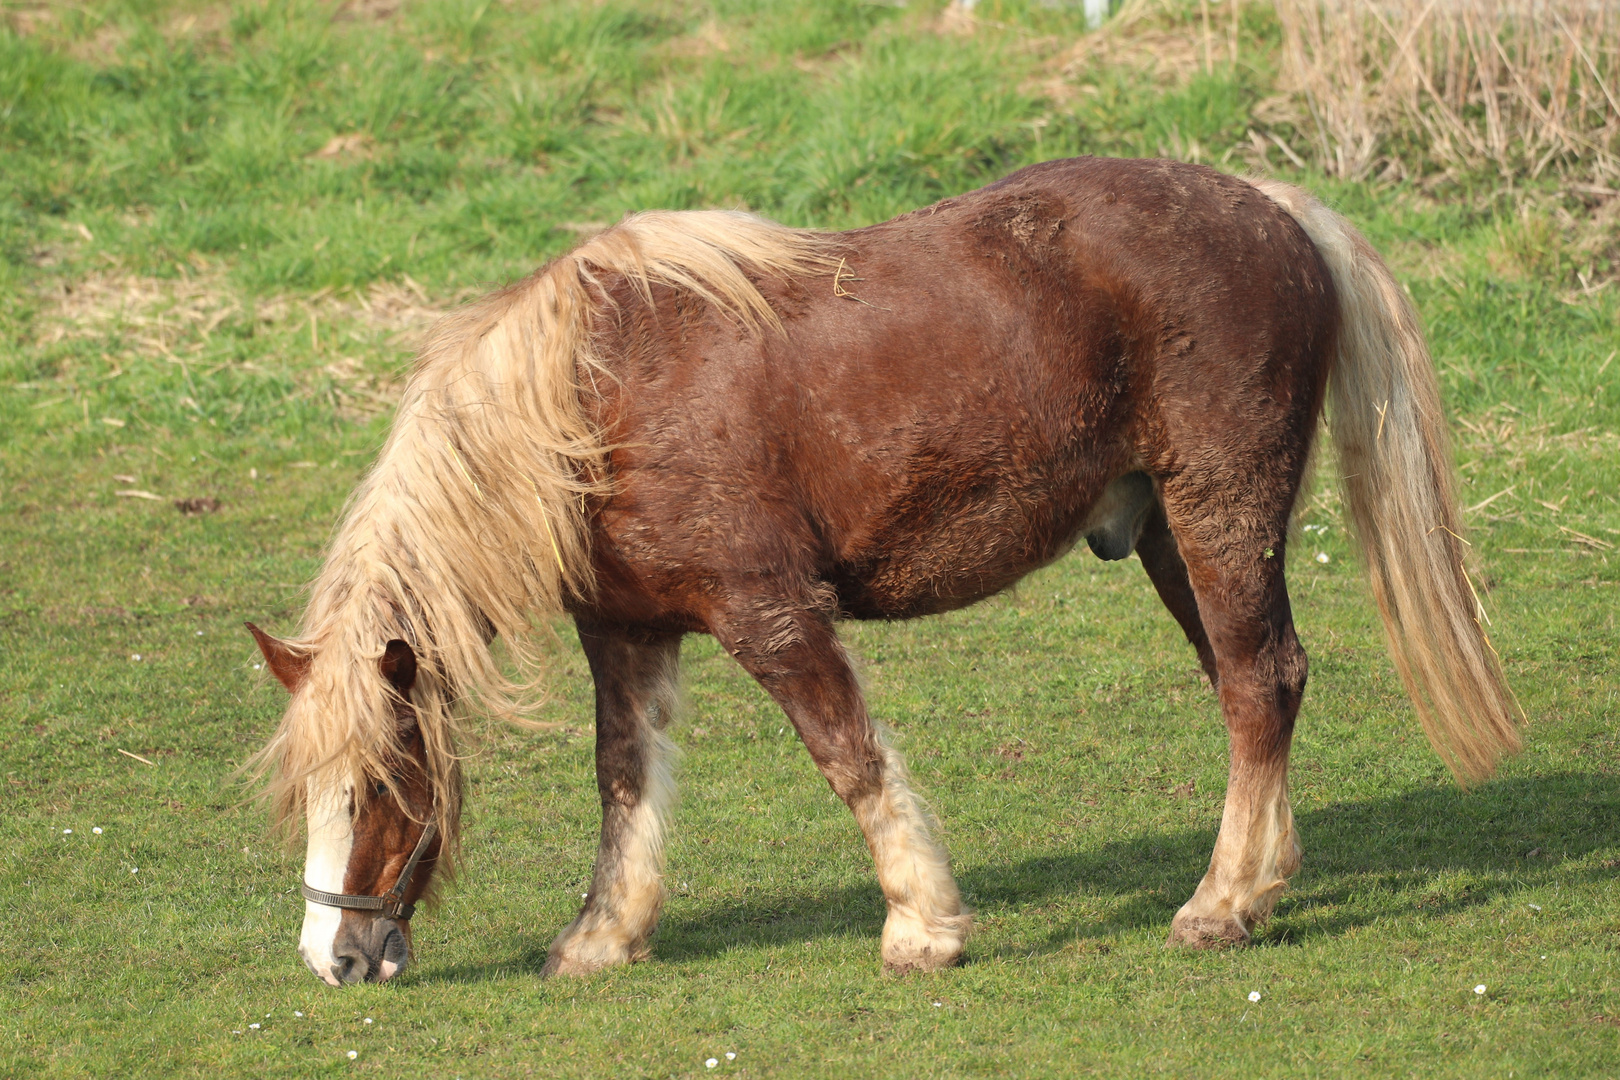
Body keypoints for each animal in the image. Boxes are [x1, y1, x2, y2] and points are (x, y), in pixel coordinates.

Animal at [243, 153, 1516, 990]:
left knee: (1258, 683)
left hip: (1221, 513)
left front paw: (923, 927)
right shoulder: (629, 634)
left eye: (380, 786)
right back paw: (1260, 886)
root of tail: (1272, 208)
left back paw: (1218, 907)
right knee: (1264, 684)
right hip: (1177, 539)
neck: (593, 403)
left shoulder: (772, 614)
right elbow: (624, 784)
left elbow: (848, 758)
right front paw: (603, 938)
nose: (333, 958)